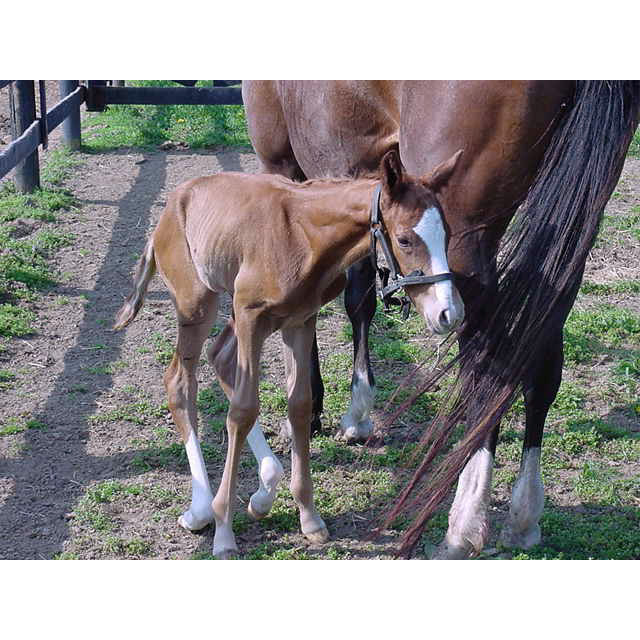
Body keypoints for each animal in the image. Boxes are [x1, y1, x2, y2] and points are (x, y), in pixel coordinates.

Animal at [114, 149, 464, 558]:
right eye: (406, 240)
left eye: (448, 234)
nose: (449, 313)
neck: (303, 235)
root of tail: (169, 209)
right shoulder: (252, 317)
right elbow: (243, 410)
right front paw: (224, 531)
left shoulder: (300, 320)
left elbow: (298, 405)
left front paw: (309, 516)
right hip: (197, 304)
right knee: (180, 383)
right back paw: (201, 508)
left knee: (220, 357)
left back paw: (265, 488)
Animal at [242, 80, 640, 558]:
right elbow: (353, 292)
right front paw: (347, 408)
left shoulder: (286, 166)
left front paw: (328, 410)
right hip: (570, 235)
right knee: (541, 358)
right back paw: (525, 512)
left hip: (465, 236)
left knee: (485, 358)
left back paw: (465, 518)